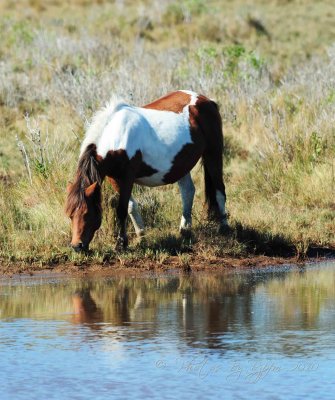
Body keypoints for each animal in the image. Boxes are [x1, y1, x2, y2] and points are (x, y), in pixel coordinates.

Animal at [65, 92, 228, 252]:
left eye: (87, 213)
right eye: (70, 214)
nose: (76, 246)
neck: (116, 137)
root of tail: (207, 100)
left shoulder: (127, 178)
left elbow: (122, 209)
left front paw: (121, 244)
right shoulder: (114, 179)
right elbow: (131, 207)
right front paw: (140, 236)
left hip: (213, 154)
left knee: (219, 190)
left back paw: (224, 227)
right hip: (182, 165)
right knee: (188, 191)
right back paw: (185, 231)